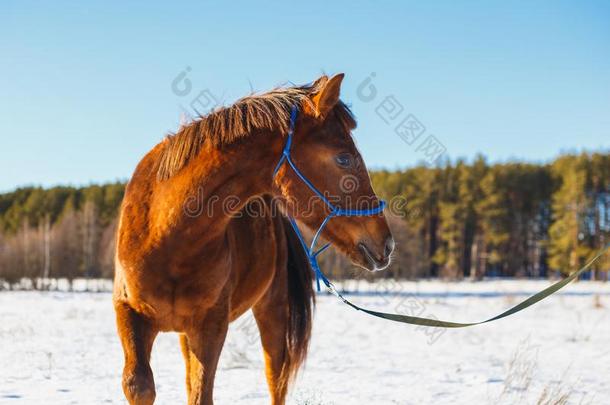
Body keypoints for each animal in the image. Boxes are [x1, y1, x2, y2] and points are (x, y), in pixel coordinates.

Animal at [111, 73, 392, 404]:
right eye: (344, 159)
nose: (386, 243)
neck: (167, 238)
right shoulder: (130, 313)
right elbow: (140, 385)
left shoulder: (210, 326)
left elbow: (202, 394)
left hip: (272, 313)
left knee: (275, 380)